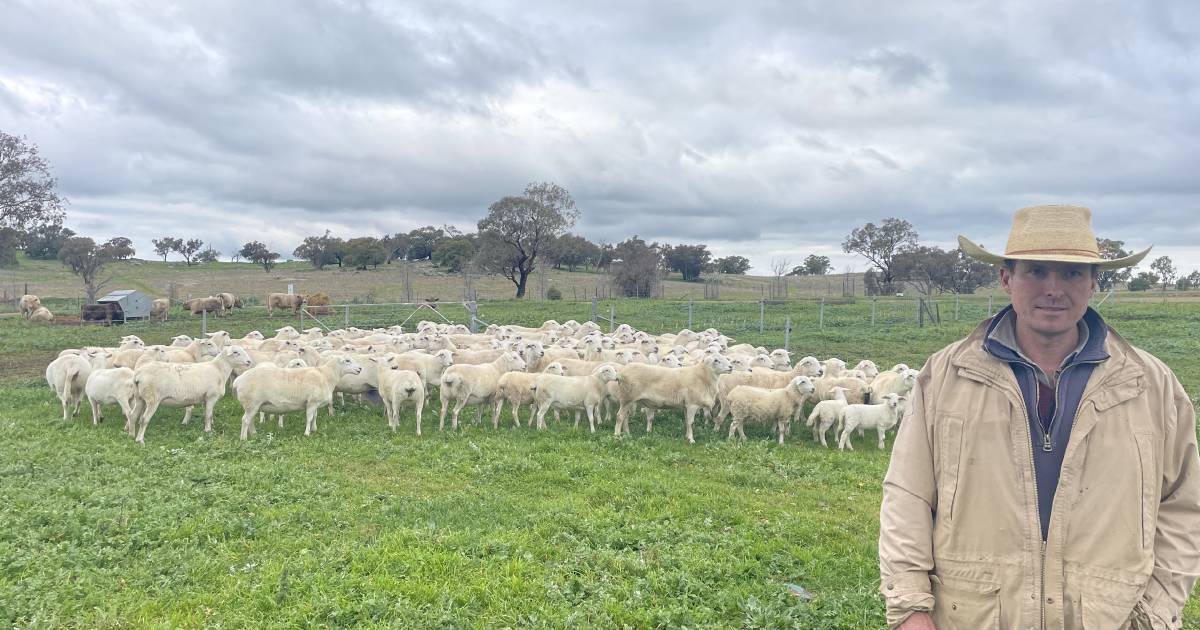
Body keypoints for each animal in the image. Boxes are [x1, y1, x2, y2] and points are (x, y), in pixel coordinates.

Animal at [234, 352, 362, 436]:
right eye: (347, 361)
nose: (360, 369)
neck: (326, 375)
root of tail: (239, 379)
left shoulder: (315, 402)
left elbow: (315, 416)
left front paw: (314, 429)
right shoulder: (312, 402)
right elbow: (309, 417)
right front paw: (307, 433)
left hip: (253, 405)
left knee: (250, 420)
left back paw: (254, 434)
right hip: (251, 403)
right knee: (245, 420)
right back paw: (243, 438)